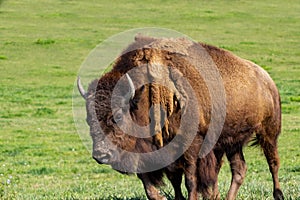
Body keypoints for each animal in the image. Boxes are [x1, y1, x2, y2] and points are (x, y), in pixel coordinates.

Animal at [77, 35, 284, 199]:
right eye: (88, 119)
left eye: (118, 116)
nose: (101, 154)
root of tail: (266, 79)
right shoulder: (157, 150)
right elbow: (160, 184)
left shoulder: (190, 146)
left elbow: (190, 180)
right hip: (231, 141)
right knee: (239, 169)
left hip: (268, 131)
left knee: (273, 162)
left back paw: (278, 194)